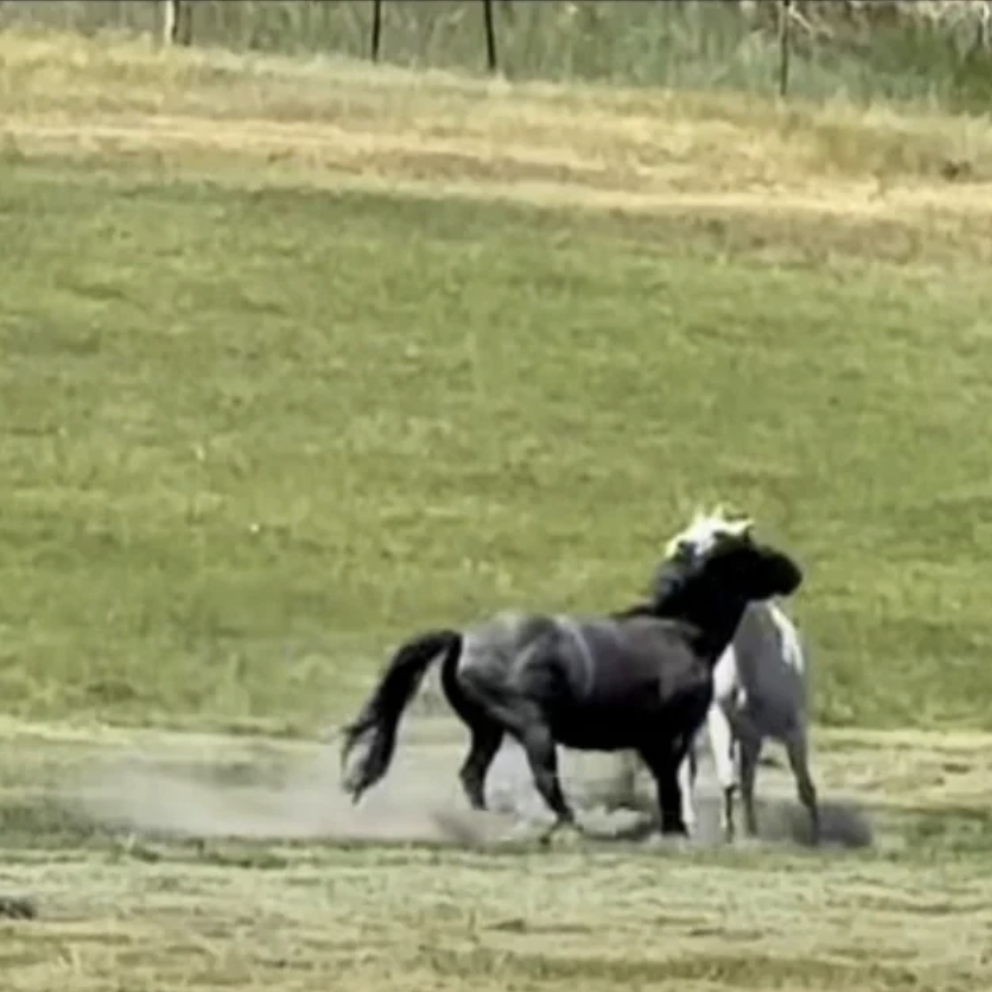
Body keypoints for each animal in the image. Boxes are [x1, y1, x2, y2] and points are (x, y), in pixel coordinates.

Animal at [339, 530, 803, 841]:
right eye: (754, 555)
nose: (793, 572)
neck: (681, 632)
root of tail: (464, 640)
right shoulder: (667, 736)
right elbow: (670, 786)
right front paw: (674, 832)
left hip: (488, 729)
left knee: (473, 775)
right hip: (532, 728)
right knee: (545, 780)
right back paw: (566, 826)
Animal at [663, 508, 820, 844]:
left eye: (720, 535)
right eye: (690, 530)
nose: (677, 545)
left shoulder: (791, 726)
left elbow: (804, 786)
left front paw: (816, 835)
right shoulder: (721, 719)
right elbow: (727, 780)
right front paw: (729, 832)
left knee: (746, 778)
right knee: (687, 770)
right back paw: (690, 822)